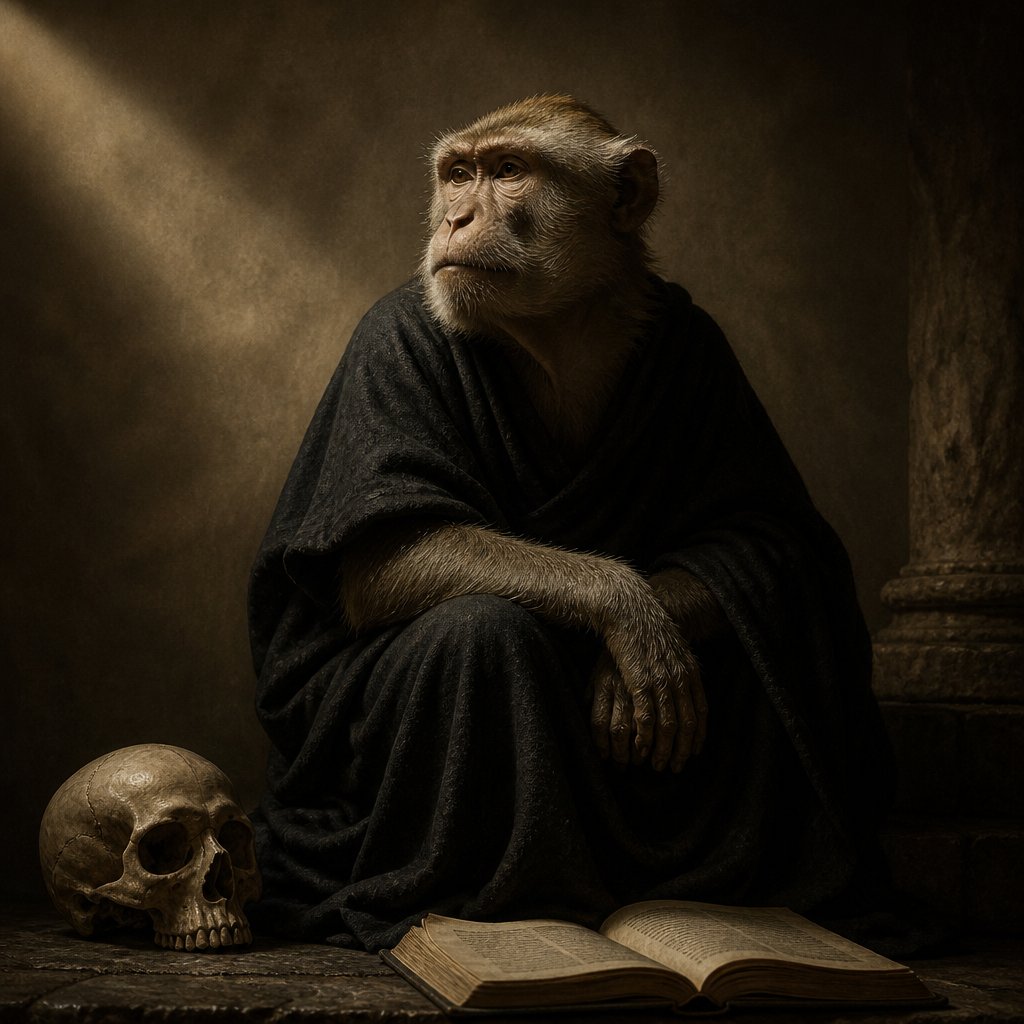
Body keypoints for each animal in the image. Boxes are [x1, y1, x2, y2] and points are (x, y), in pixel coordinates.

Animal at [340, 96, 726, 774]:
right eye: (458, 176)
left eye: (509, 170)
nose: (456, 218)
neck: (555, 334)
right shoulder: (384, 345)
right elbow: (386, 554)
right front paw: (629, 610)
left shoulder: (700, 341)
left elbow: (741, 542)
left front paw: (652, 629)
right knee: (473, 625)